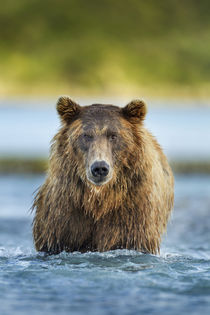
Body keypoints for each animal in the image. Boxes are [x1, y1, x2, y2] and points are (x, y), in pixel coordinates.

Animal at [32, 97, 174, 256]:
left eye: (113, 135)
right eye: (86, 135)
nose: (100, 167)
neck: (100, 199)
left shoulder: (134, 213)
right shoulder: (65, 214)